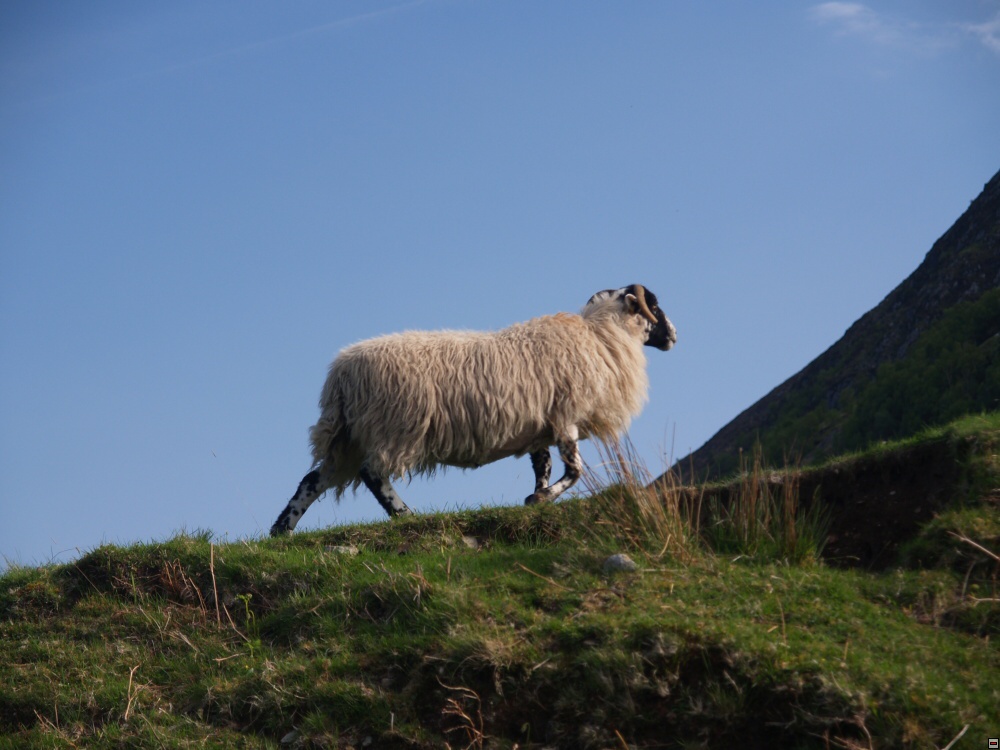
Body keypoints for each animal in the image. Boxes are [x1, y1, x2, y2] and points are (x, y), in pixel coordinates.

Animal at [270, 284, 676, 536]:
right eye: (654, 305)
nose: (673, 335)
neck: (602, 337)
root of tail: (339, 375)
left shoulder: (540, 426)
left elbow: (543, 468)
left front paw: (537, 502)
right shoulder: (566, 416)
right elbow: (574, 471)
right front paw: (540, 499)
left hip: (349, 439)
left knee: (313, 480)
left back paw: (281, 531)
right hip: (392, 427)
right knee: (373, 474)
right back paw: (404, 515)